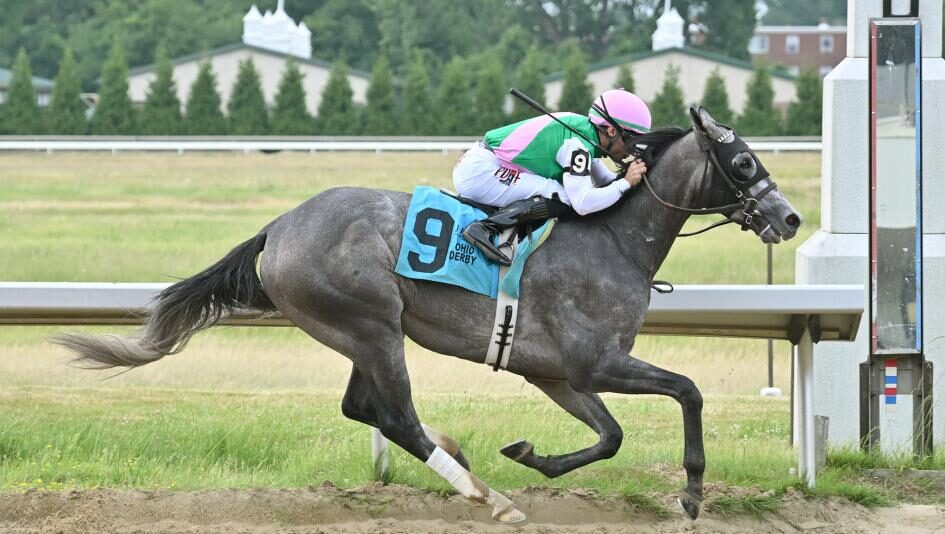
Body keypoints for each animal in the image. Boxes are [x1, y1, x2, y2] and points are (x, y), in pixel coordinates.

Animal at [57, 108, 796, 524]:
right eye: (742, 161)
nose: (788, 218)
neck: (613, 240)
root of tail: (278, 228)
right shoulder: (597, 361)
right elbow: (687, 391)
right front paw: (693, 491)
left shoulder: (556, 373)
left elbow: (609, 436)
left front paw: (528, 453)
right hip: (371, 323)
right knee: (396, 417)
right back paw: (488, 497)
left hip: (357, 332)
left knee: (366, 409)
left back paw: (466, 459)